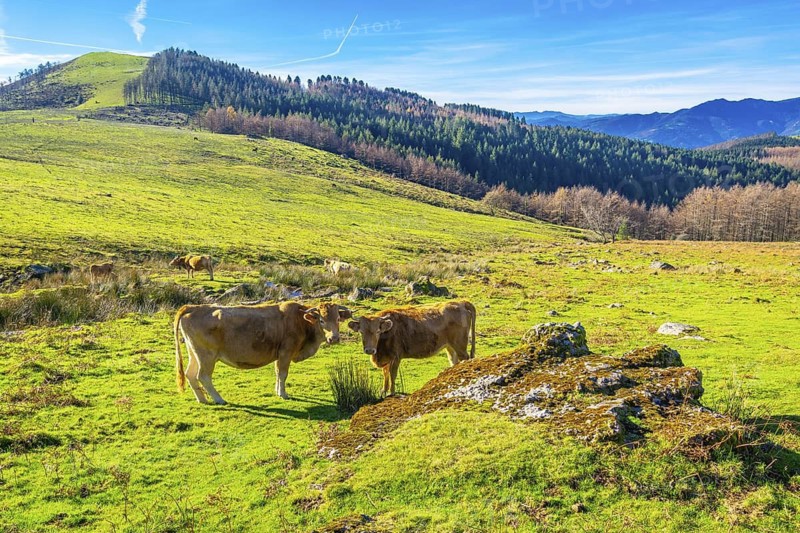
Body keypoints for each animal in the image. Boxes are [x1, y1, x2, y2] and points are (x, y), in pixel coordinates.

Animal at [174, 301, 352, 404]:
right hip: (207, 356)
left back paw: (203, 399)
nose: (334, 338)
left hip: (194, 353)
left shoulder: (279, 355)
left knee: (190, 374)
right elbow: (282, 373)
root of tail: (193, 307)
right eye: (321, 320)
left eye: (338, 319)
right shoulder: (286, 353)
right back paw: (219, 399)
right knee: (203, 376)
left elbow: (277, 373)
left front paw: (277, 391)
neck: (300, 320)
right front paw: (283, 394)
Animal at [348, 300, 477, 396]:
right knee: (453, 361)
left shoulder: (396, 357)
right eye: (361, 332)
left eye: (378, 331)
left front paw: (391, 392)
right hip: (450, 346)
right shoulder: (386, 358)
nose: (370, 350)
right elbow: (385, 374)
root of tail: (461, 302)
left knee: (465, 358)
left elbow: (392, 374)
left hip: (460, 345)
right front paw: (384, 391)